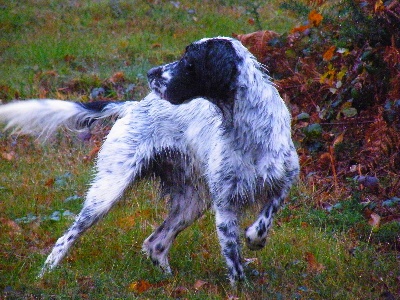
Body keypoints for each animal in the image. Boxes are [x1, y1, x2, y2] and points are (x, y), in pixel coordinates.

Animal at [0, 37, 298, 284]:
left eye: (189, 61)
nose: (151, 73)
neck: (249, 133)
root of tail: (132, 106)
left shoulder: (284, 182)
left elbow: (265, 219)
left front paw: (255, 239)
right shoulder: (224, 208)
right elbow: (234, 262)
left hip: (192, 202)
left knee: (155, 243)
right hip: (107, 191)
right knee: (67, 236)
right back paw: (44, 274)